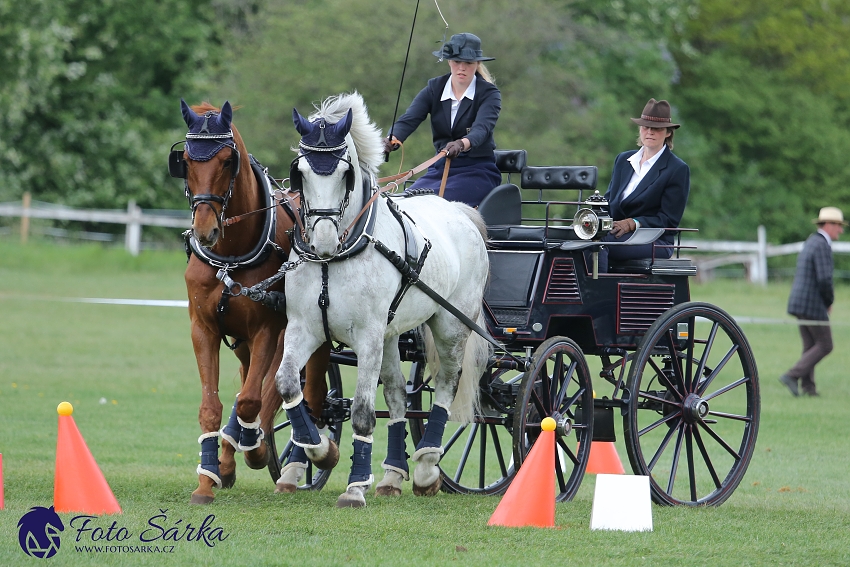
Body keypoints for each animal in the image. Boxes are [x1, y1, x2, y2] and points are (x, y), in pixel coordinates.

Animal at [174, 100, 336, 504]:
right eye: (185, 159)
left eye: (227, 160)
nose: (205, 230)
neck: (231, 255)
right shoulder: (204, 329)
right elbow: (213, 406)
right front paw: (208, 479)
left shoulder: (268, 329)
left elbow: (253, 399)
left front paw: (257, 447)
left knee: (298, 391)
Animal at [274, 91, 490, 508]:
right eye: (300, 173)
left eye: (345, 174)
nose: (323, 240)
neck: (335, 259)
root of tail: (458, 209)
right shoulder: (303, 328)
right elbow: (289, 385)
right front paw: (319, 451)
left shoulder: (368, 337)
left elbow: (361, 411)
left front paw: (355, 486)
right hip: (392, 335)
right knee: (396, 395)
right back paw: (392, 475)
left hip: (450, 325)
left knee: (446, 384)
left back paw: (426, 467)